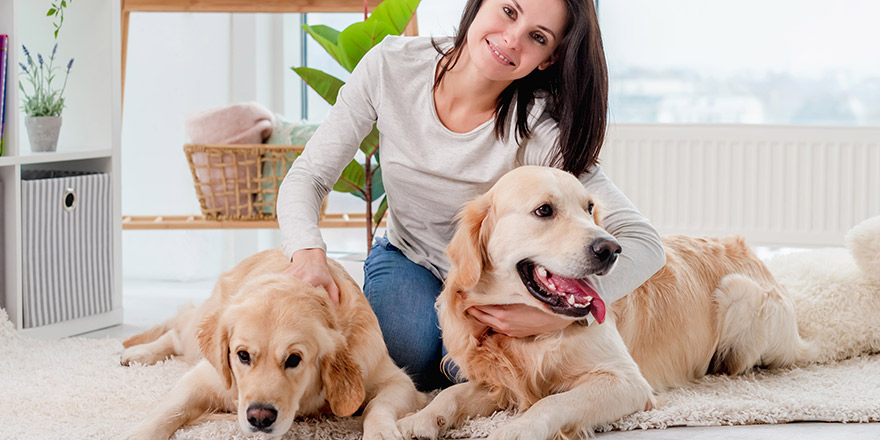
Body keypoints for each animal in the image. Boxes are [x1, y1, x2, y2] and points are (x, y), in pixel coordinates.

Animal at [121, 251, 426, 440]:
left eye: (294, 359)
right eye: (242, 355)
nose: (259, 417)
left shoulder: (392, 378)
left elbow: (379, 405)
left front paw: (380, 432)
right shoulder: (204, 378)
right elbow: (169, 410)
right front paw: (138, 432)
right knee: (178, 330)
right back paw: (138, 352)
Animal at [398, 166, 820, 440]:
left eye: (589, 208)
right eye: (544, 210)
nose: (610, 248)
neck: (532, 339)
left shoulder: (627, 382)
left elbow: (554, 403)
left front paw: (516, 429)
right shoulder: (499, 380)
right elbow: (452, 393)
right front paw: (420, 419)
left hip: (739, 293)